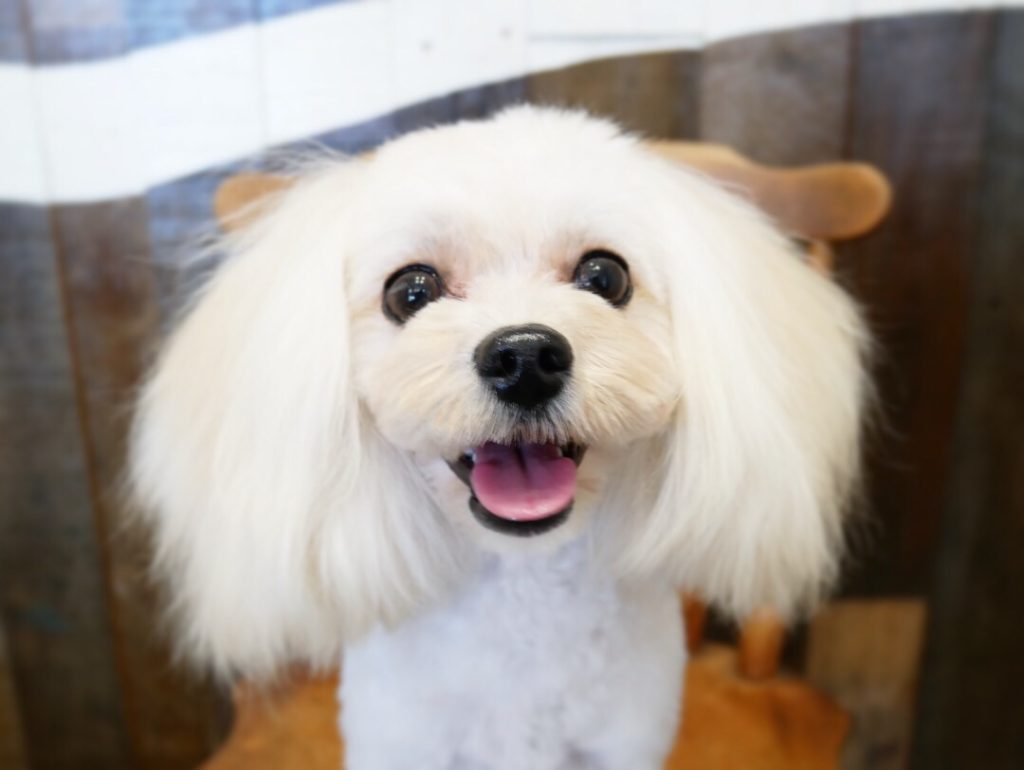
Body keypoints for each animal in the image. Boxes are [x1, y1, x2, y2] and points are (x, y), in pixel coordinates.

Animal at [130, 107, 869, 769]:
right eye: (410, 291)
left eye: (606, 276)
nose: (525, 357)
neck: (525, 594)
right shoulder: (403, 746)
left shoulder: (623, 746)